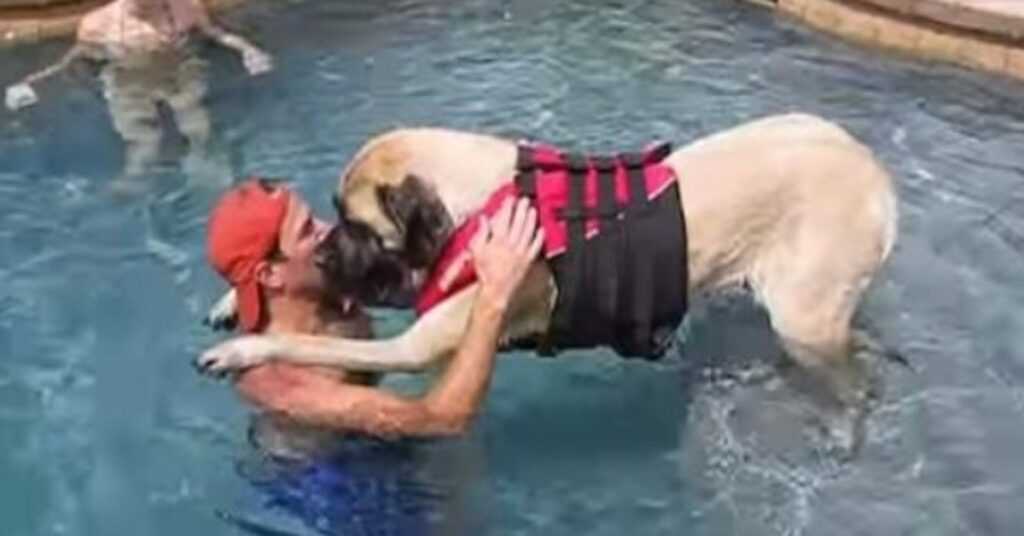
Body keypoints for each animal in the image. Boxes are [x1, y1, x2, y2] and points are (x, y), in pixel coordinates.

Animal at [197, 115, 897, 446]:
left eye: (359, 226)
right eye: (331, 219)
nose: (323, 254)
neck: (483, 198)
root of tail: (877, 174)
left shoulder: (417, 341)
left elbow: (312, 342)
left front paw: (244, 348)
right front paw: (234, 298)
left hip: (805, 316)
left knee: (855, 371)